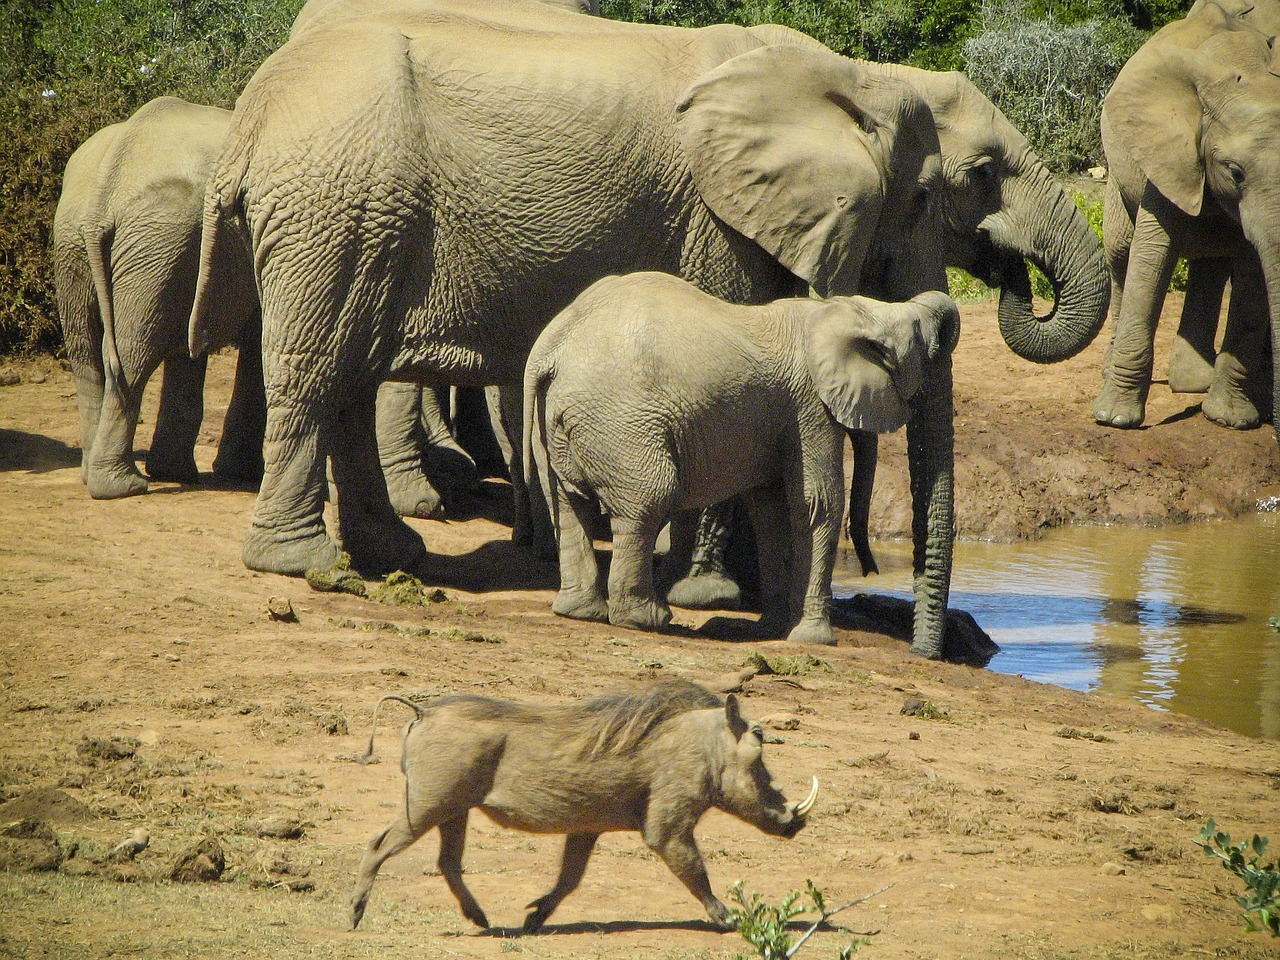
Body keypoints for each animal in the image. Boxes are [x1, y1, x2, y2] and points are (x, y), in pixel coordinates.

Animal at [53, 98, 263, 499]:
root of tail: (105, 195)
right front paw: (243, 476)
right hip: (156, 238)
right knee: (132, 355)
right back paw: (123, 487)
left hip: (91, 243)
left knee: (86, 353)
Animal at [350, 680, 808, 936]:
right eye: (759, 741)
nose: (795, 824)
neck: (706, 746)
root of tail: (422, 711)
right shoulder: (669, 826)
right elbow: (695, 870)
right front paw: (729, 921)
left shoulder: (586, 829)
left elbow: (570, 878)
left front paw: (533, 920)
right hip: (427, 805)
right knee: (377, 844)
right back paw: (354, 917)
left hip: (452, 810)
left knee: (448, 862)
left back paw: (483, 922)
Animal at [522, 271, 962, 647]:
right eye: (928, 352)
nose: (870, 569)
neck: (849, 311)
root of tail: (550, 348)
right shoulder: (809, 405)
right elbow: (815, 503)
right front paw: (813, 639)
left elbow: (770, 508)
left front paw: (774, 629)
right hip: (619, 420)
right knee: (649, 499)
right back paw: (647, 618)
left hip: (560, 422)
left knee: (569, 502)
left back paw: (580, 611)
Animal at [1090, 0, 1280, 440]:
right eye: (1234, 171)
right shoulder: (1167, 150)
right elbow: (1151, 255)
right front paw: (1114, 420)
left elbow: (1252, 277)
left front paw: (1230, 420)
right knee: (1121, 253)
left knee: (1211, 265)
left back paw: (1194, 384)